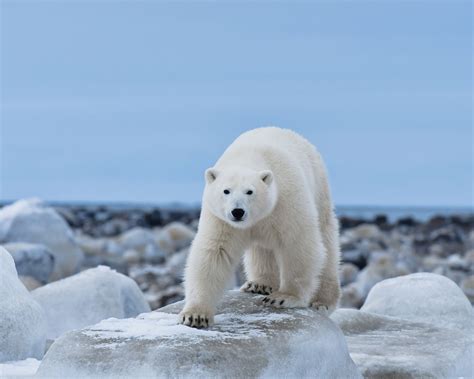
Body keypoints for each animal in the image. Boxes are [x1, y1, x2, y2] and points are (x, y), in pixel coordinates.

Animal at [179, 128, 340, 330]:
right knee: (262, 250)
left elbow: (297, 243)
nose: (237, 211)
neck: (250, 156)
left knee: (327, 243)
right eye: (226, 190)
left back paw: (322, 302)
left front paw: (283, 298)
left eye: (250, 191)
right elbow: (214, 252)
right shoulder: (220, 219)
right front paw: (195, 316)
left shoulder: (287, 201)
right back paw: (259, 284)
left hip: (319, 188)